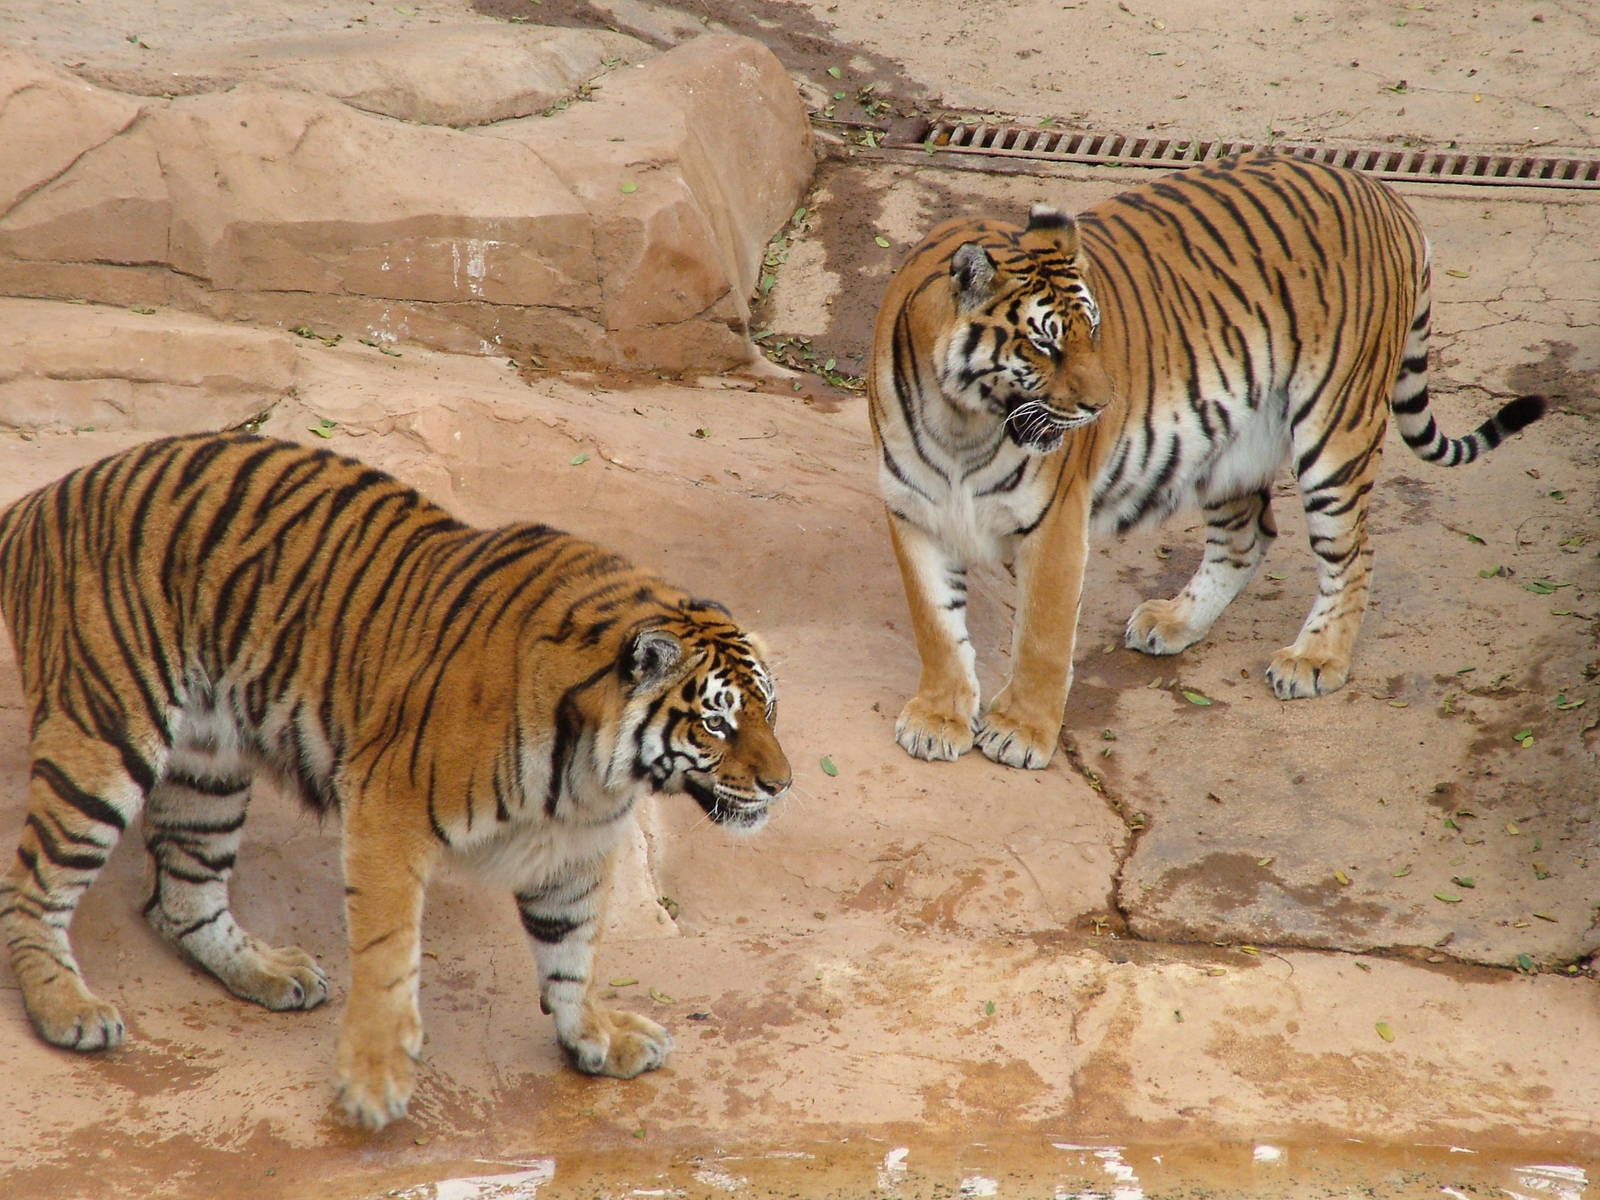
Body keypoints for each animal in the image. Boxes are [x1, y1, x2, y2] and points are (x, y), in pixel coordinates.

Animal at [0, 432, 790, 1131]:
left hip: (209, 766)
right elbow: (389, 953)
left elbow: (573, 952)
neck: (593, 774)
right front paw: (374, 1080)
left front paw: (593, 1035)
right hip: (103, 733)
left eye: (770, 711)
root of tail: (44, 496)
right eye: (717, 723)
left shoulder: (571, 850)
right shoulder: (389, 805)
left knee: (182, 895)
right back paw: (68, 1010)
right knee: (33, 886)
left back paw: (269, 973)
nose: (782, 785)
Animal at [869, 149, 1545, 770]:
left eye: (1093, 330)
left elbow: (1041, 634)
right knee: (1248, 536)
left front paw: (1019, 731)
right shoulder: (913, 514)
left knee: (1353, 553)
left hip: (1336, 431)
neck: (962, 421)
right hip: (1224, 444)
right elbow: (936, 627)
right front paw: (939, 717)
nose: (1101, 405)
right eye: (1045, 345)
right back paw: (1175, 622)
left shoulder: (1055, 521)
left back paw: (1315, 659)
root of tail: (1383, 193)